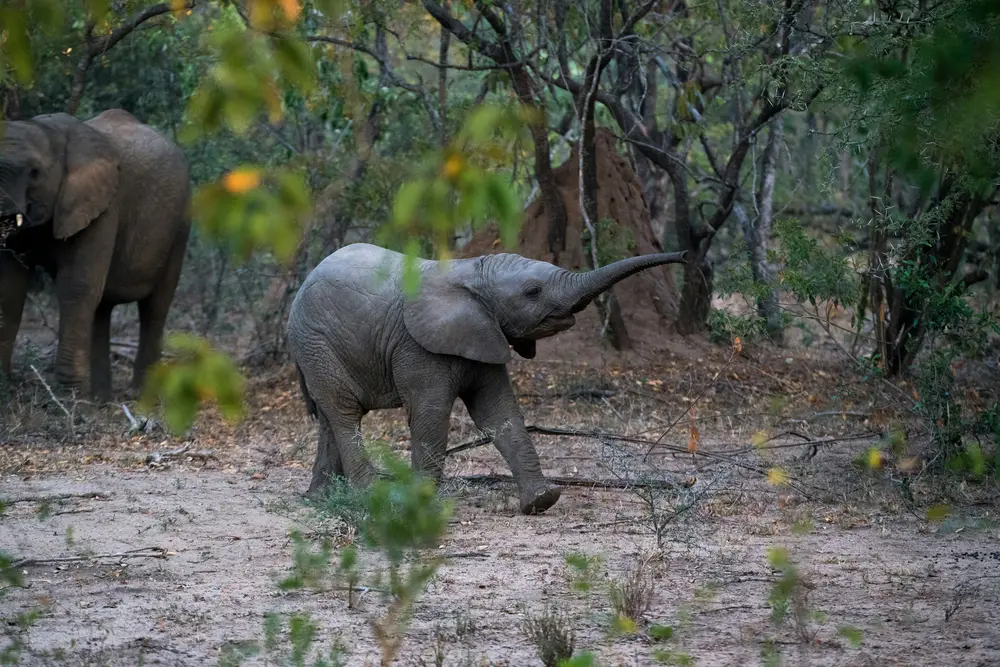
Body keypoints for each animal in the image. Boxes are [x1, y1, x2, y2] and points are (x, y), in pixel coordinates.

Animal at [0, 109, 191, 402]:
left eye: (34, 172)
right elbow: (10, 288)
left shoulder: (103, 207)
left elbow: (76, 285)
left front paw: (70, 400)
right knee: (102, 308)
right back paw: (101, 399)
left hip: (180, 224)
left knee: (155, 307)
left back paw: (140, 397)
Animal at [286, 242, 687, 515]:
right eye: (533, 291)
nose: (685, 255)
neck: (471, 272)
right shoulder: (417, 346)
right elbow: (431, 415)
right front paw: (420, 507)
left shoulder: (484, 333)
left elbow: (498, 412)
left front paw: (542, 501)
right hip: (316, 342)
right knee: (344, 413)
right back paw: (371, 497)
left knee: (329, 417)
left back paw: (320, 498)